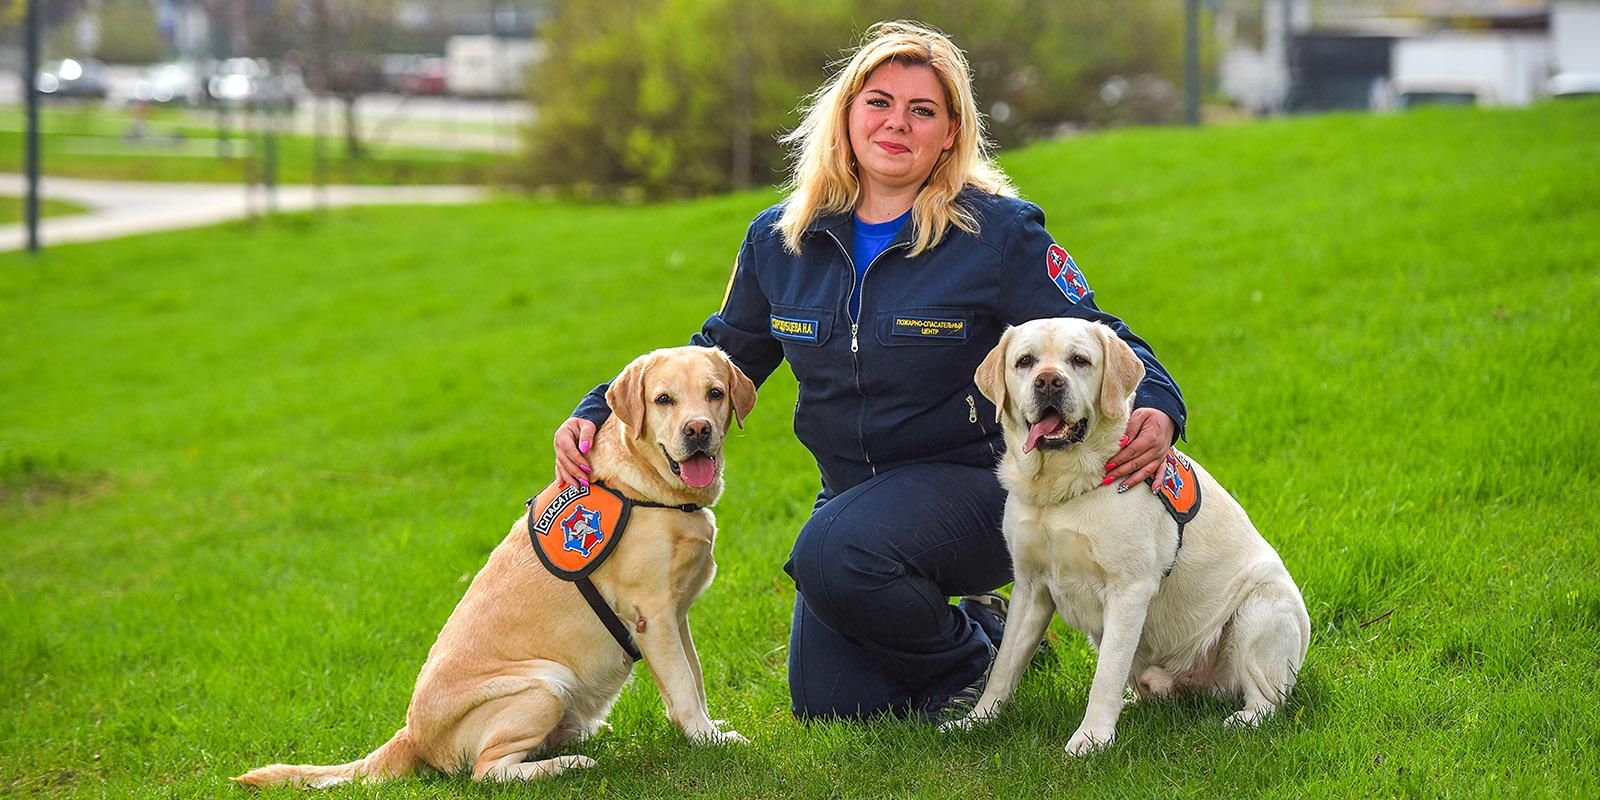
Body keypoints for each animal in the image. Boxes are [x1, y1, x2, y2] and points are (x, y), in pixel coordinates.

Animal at [235, 347, 755, 784]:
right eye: (663, 399)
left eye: (714, 393)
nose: (697, 430)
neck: (649, 487)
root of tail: (411, 735)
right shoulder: (653, 616)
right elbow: (684, 688)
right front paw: (707, 739)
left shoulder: (676, 616)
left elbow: (693, 679)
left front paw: (709, 728)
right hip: (544, 684)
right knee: (488, 773)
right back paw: (567, 764)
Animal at [940, 320, 1305, 755]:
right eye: (1025, 361)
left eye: (1080, 360)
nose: (1048, 381)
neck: (1062, 489)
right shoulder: (1030, 586)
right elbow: (1005, 665)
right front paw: (976, 720)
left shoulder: (1129, 589)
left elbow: (1106, 675)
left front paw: (1092, 738)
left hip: (1261, 608)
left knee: (1269, 700)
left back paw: (1241, 720)